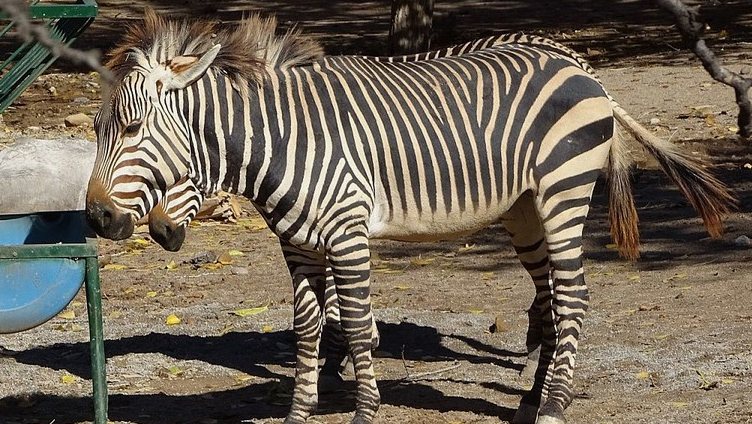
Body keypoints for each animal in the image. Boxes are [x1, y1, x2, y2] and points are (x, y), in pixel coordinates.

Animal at [85, 10, 734, 424]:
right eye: (96, 128)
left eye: (134, 127)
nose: (97, 219)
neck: (285, 142)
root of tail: (580, 67)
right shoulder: (299, 246)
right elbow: (307, 329)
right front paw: (300, 410)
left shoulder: (347, 234)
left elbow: (355, 324)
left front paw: (365, 408)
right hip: (524, 210)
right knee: (549, 295)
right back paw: (535, 400)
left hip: (562, 192)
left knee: (572, 296)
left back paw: (553, 406)